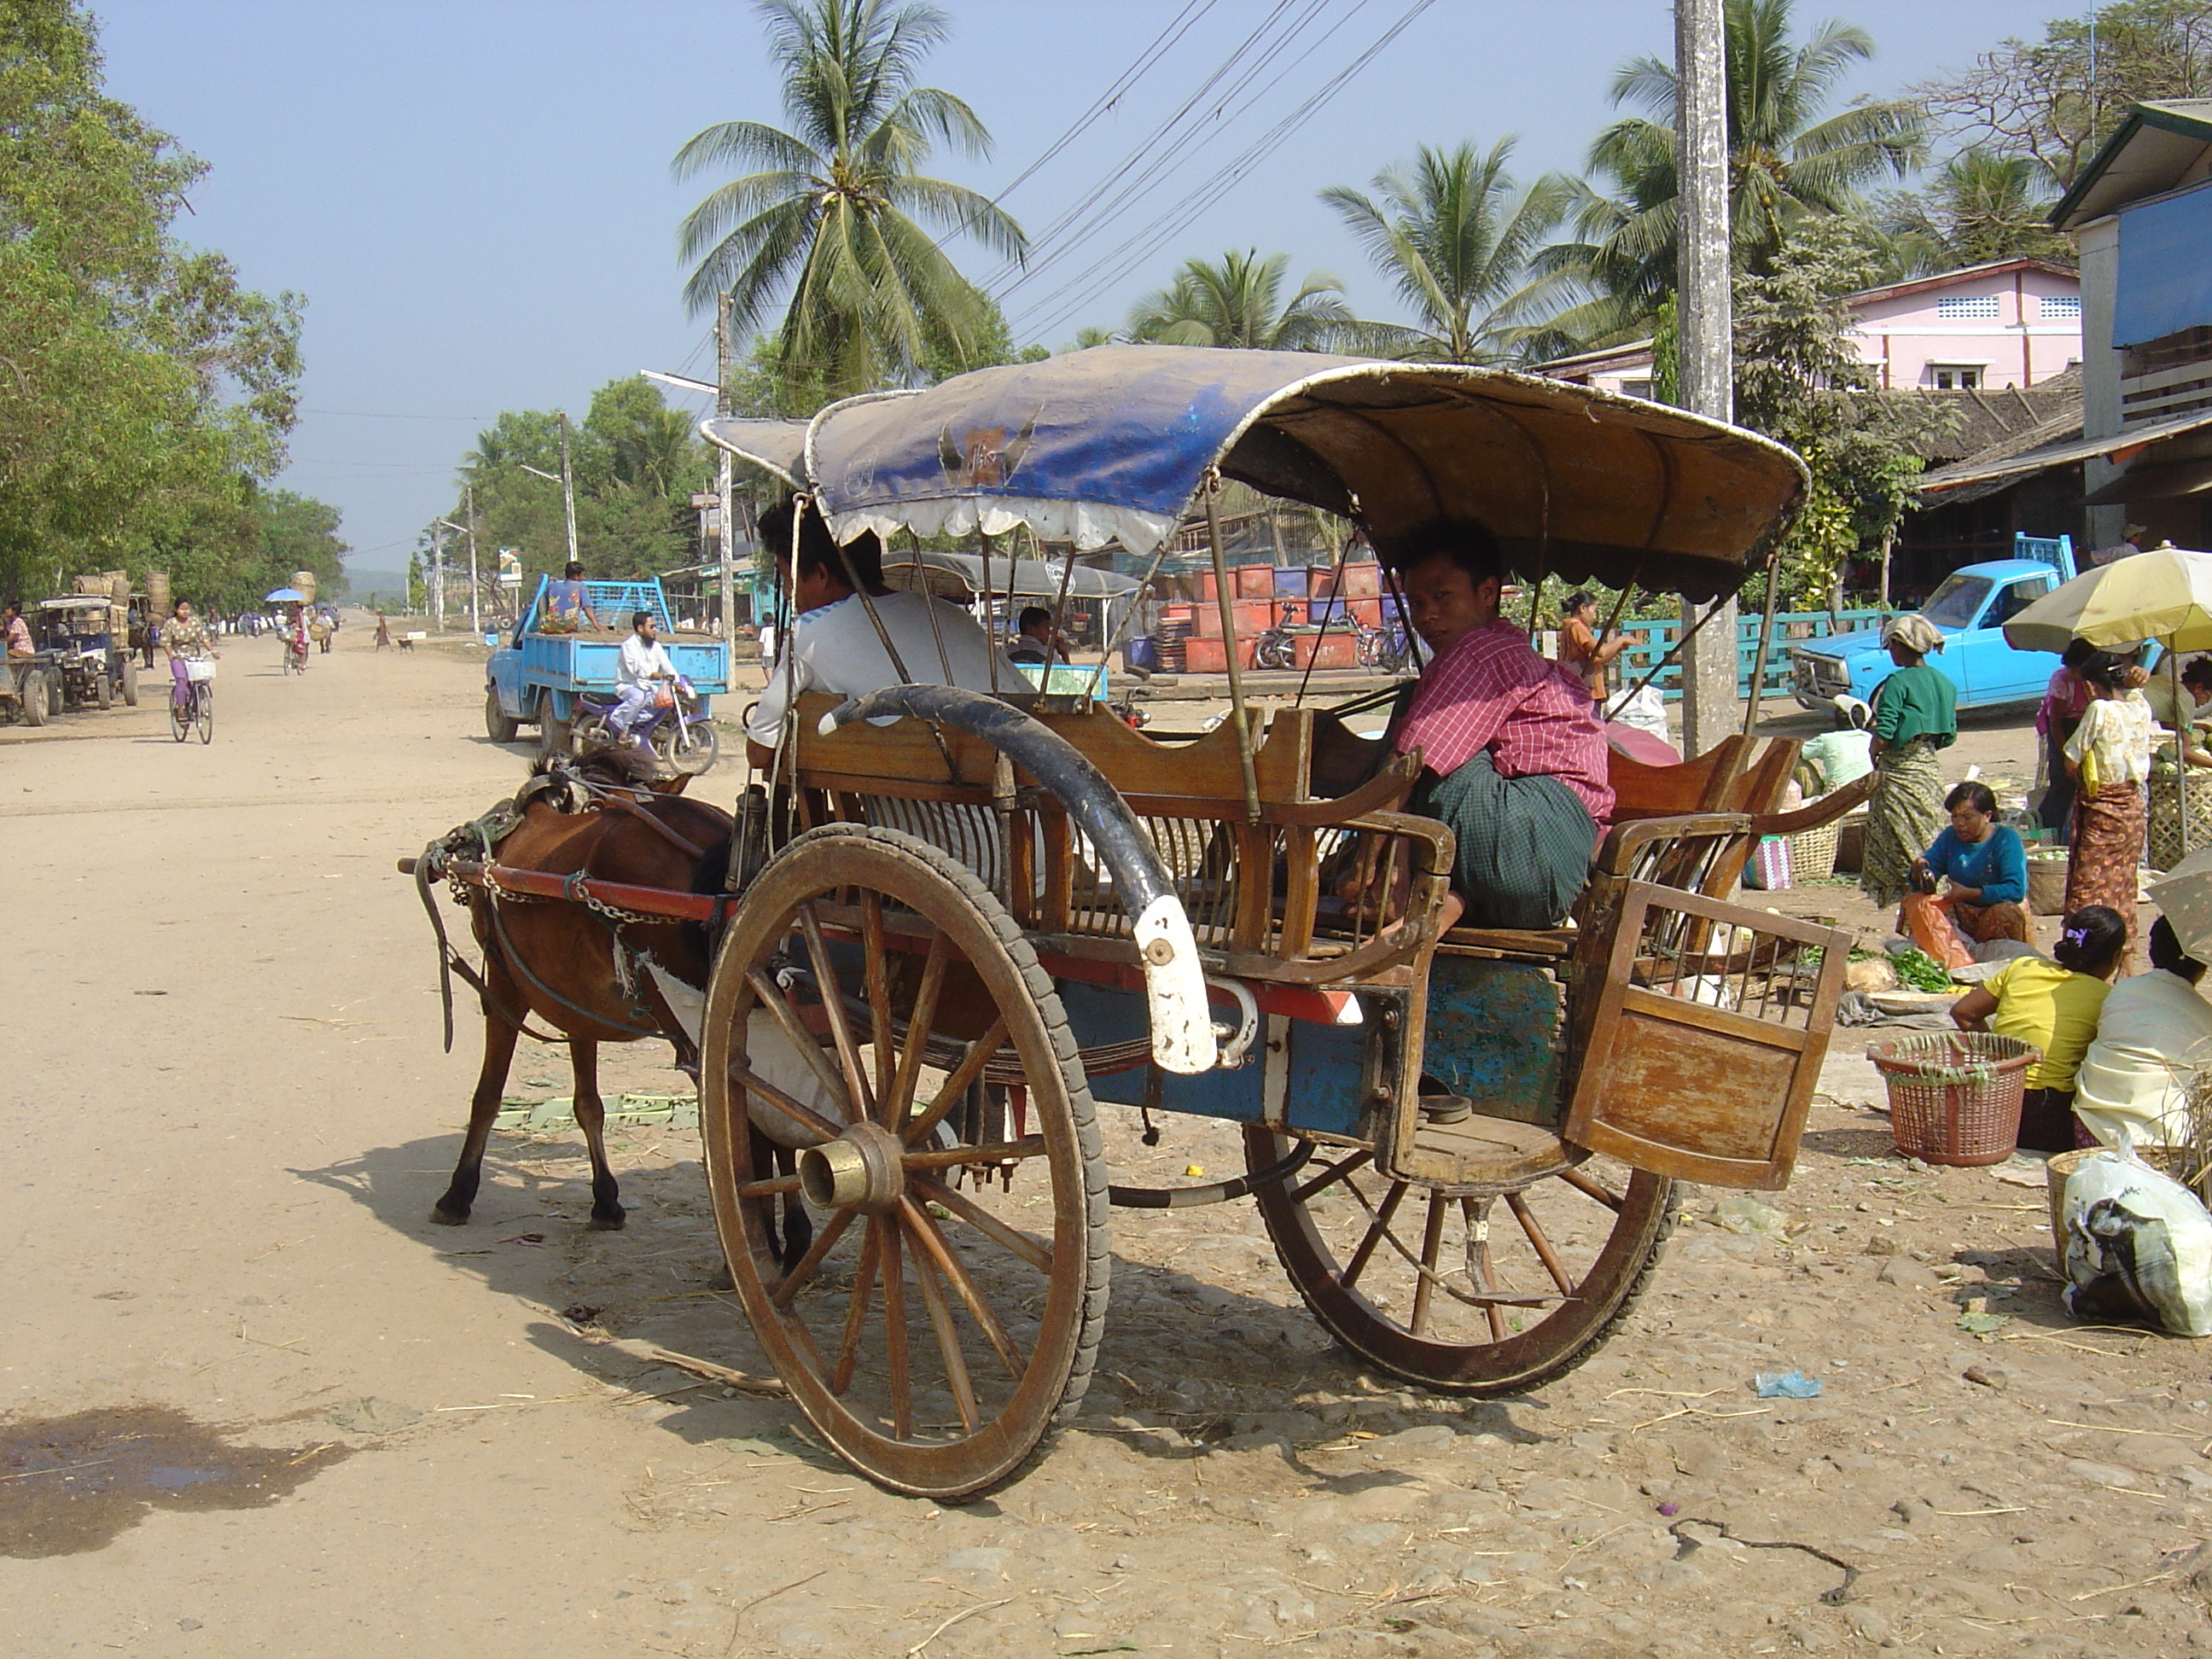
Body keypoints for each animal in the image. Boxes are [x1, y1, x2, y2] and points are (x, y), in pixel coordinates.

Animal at [422, 748, 796, 1256]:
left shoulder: (503, 989)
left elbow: (487, 1096)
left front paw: (458, 1193)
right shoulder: (575, 1003)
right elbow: (588, 1104)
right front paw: (605, 1201)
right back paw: (789, 1235)